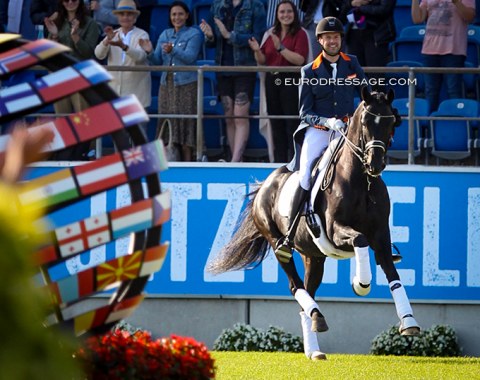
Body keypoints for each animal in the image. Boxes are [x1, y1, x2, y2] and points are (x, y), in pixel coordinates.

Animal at [208, 88, 418, 360]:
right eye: (365, 122)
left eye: (392, 122)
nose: (375, 164)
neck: (362, 182)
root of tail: (266, 184)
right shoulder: (336, 231)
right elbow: (359, 239)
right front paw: (360, 284)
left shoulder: (381, 236)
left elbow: (393, 275)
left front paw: (409, 322)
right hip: (279, 245)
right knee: (295, 285)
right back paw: (317, 319)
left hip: (314, 257)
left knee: (308, 291)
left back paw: (314, 345)